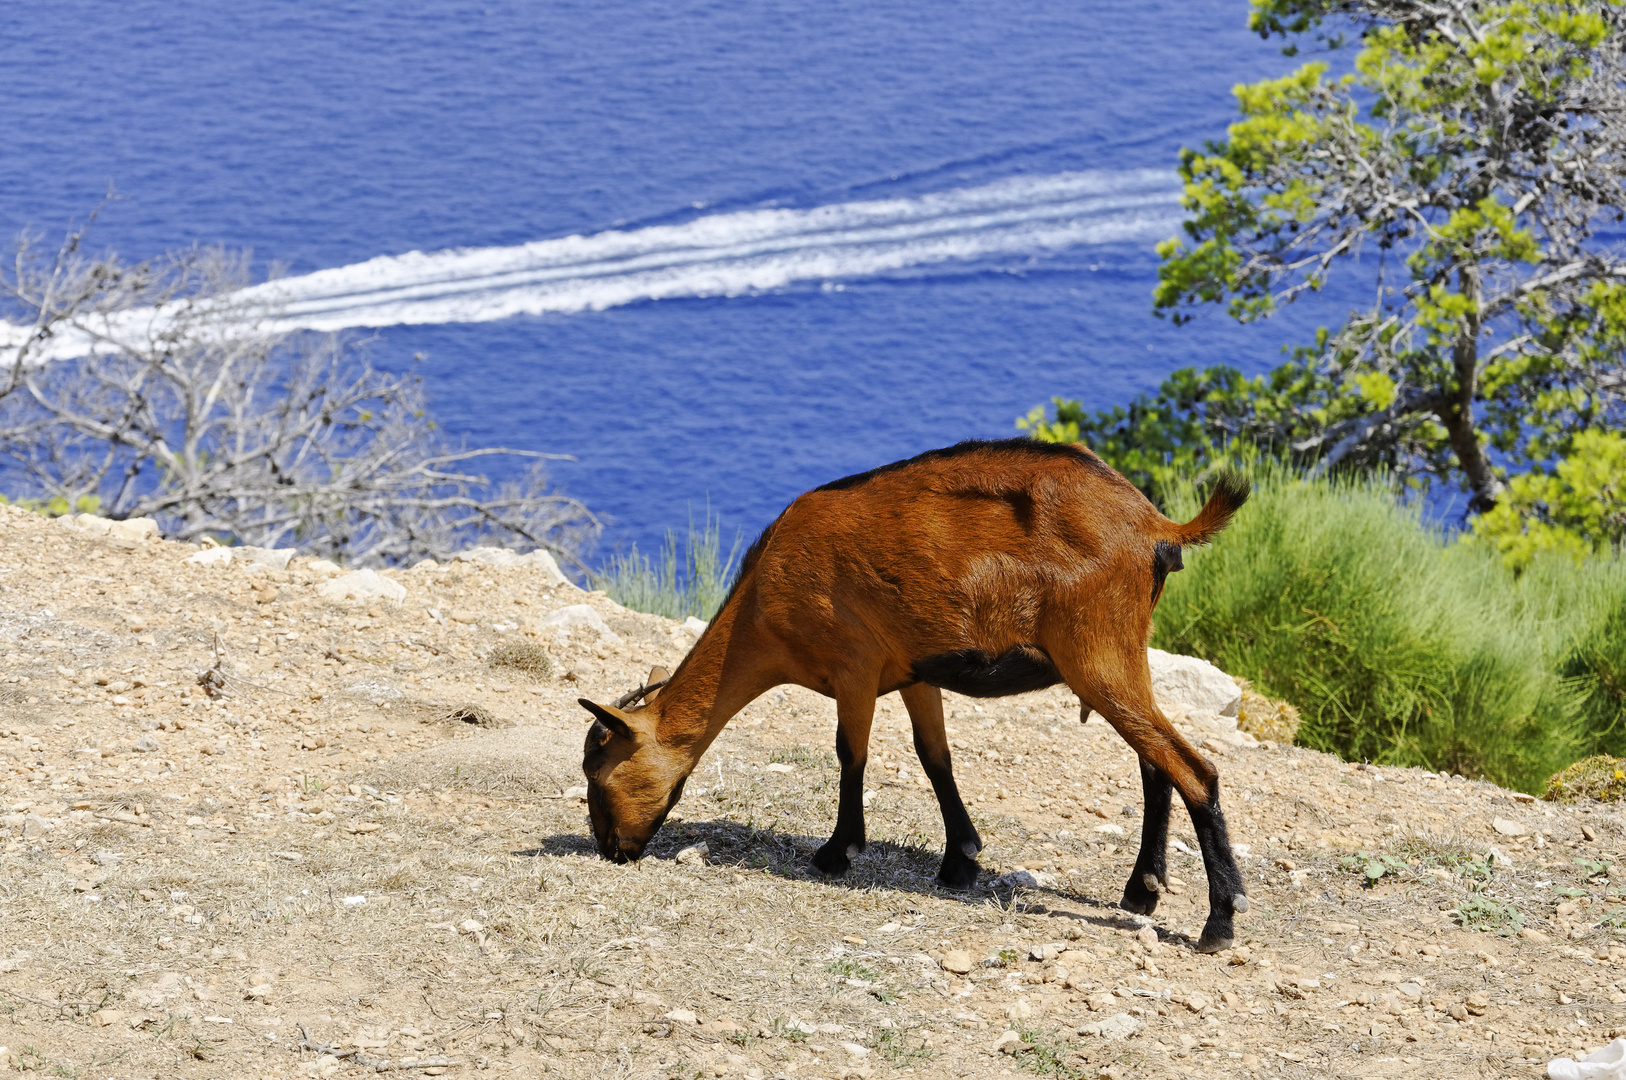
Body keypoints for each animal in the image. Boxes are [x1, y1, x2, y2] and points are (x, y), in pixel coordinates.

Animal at [585, 435, 1255, 949]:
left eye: (601, 773)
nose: (612, 848)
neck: (765, 597)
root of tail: (1154, 525)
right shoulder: (915, 672)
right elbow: (935, 757)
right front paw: (961, 859)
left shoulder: (853, 666)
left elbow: (850, 754)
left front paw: (837, 852)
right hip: (1122, 653)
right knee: (1155, 765)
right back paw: (1142, 892)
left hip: (1098, 655)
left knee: (1195, 770)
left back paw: (1219, 922)